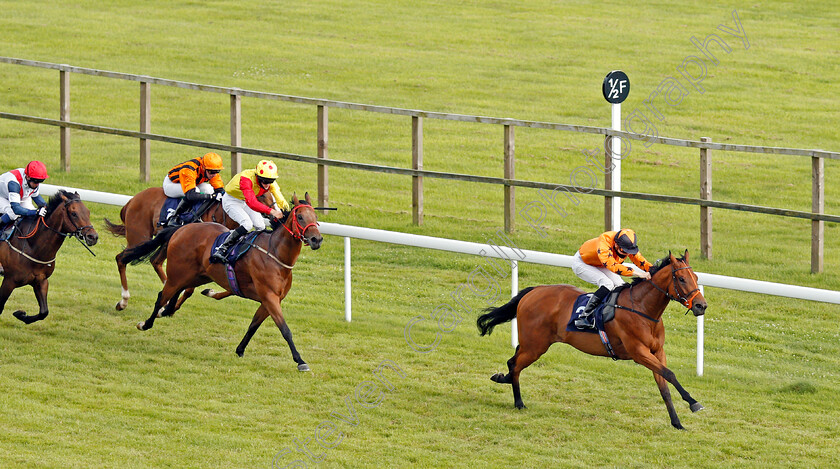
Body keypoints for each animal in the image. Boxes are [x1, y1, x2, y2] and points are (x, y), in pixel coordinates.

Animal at [0, 188, 99, 324]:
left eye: (88, 212)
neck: (32, 245)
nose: (93, 237)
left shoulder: (41, 281)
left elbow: (44, 312)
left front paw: (21, 314)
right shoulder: (9, 280)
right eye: (74, 213)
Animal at [101, 186, 272, 310]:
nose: (274, 214)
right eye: (262, 195)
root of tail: (130, 201)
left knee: (155, 261)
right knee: (122, 258)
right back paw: (123, 300)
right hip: (139, 237)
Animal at [120, 192, 324, 372]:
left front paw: (240, 350)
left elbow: (253, 325)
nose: (317, 239)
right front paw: (300, 361)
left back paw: (168, 310)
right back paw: (146, 323)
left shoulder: (270, 300)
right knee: (161, 296)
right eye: (300, 216)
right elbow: (285, 330)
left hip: (197, 275)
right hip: (178, 274)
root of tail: (183, 227)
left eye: (315, 217)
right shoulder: (269, 297)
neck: (274, 253)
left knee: (179, 293)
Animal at [476, 250, 704, 430]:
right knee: (515, 365)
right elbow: (670, 374)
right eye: (681, 279)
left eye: (695, 276)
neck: (642, 308)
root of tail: (534, 291)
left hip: (531, 344)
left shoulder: (657, 351)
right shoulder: (638, 352)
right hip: (535, 346)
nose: (701, 305)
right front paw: (694, 403)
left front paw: (677, 422)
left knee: (512, 362)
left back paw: (502, 379)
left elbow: (664, 385)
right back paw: (519, 402)